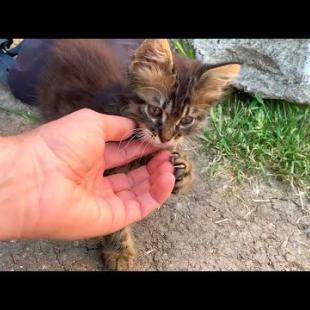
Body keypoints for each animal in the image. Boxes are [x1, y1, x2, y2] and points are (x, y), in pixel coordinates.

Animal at [34, 38, 242, 270]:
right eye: (155, 111)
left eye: (186, 120)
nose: (166, 138)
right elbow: (116, 220)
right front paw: (119, 253)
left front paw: (184, 170)